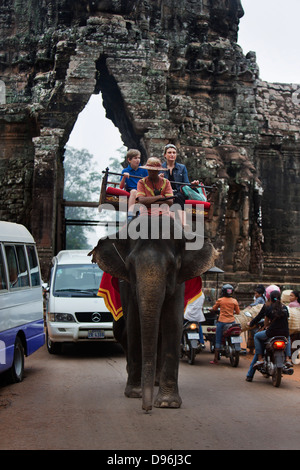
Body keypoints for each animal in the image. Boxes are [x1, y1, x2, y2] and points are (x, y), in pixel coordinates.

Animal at [88, 217, 217, 412]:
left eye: (172, 265)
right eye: (130, 265)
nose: (146, 408)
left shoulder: (178, 282)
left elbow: (172, 323)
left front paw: (167, 403)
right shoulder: (127, 284)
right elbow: (134, 324)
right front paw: (135, 393)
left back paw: (155, 382)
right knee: (122, 331)